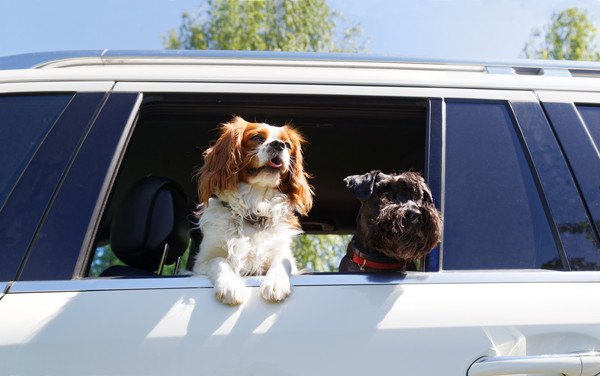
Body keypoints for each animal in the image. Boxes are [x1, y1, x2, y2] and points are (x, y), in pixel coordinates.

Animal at [192, 117, 314, 306]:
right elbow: (218, 260)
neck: (255, 205)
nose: (279, 145)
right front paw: (230, 286)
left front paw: (275, 284)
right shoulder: (202, 262)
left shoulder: (284, 255)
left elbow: (282, 261)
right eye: (257, 138)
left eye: (287, 144)